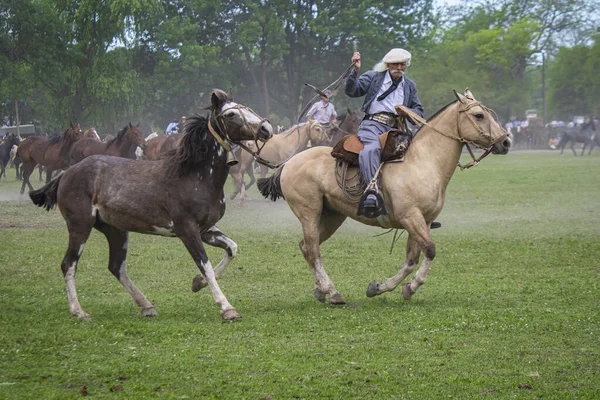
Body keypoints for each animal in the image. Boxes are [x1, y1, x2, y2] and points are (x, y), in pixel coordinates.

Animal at [28, 89, 272, 320]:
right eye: (230, 114)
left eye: (246, 106)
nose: (266, 129)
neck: (195, 175)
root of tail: (67, 173)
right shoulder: (187, 230)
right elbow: (206, 266)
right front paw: (226, 307)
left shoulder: (206, 229)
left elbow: (231, 249)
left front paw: (196, 283)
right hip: (80, 226)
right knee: (69, 264)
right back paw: (78, 311)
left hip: (115, 230)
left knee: (116, 266)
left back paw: (146, 305)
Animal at [258, 89, 510, 304]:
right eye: (478, 115)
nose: (506, 142)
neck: (423, 161)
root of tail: (288, 163)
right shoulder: (410, 217)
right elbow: (429, 250)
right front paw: (405, 287)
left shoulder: (423, 220)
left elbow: (411, 259)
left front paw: (383, 287)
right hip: (308, 212)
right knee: (312, 249)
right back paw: (332, 292)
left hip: (332, 216)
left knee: (306, 247)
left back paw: (321, 290)